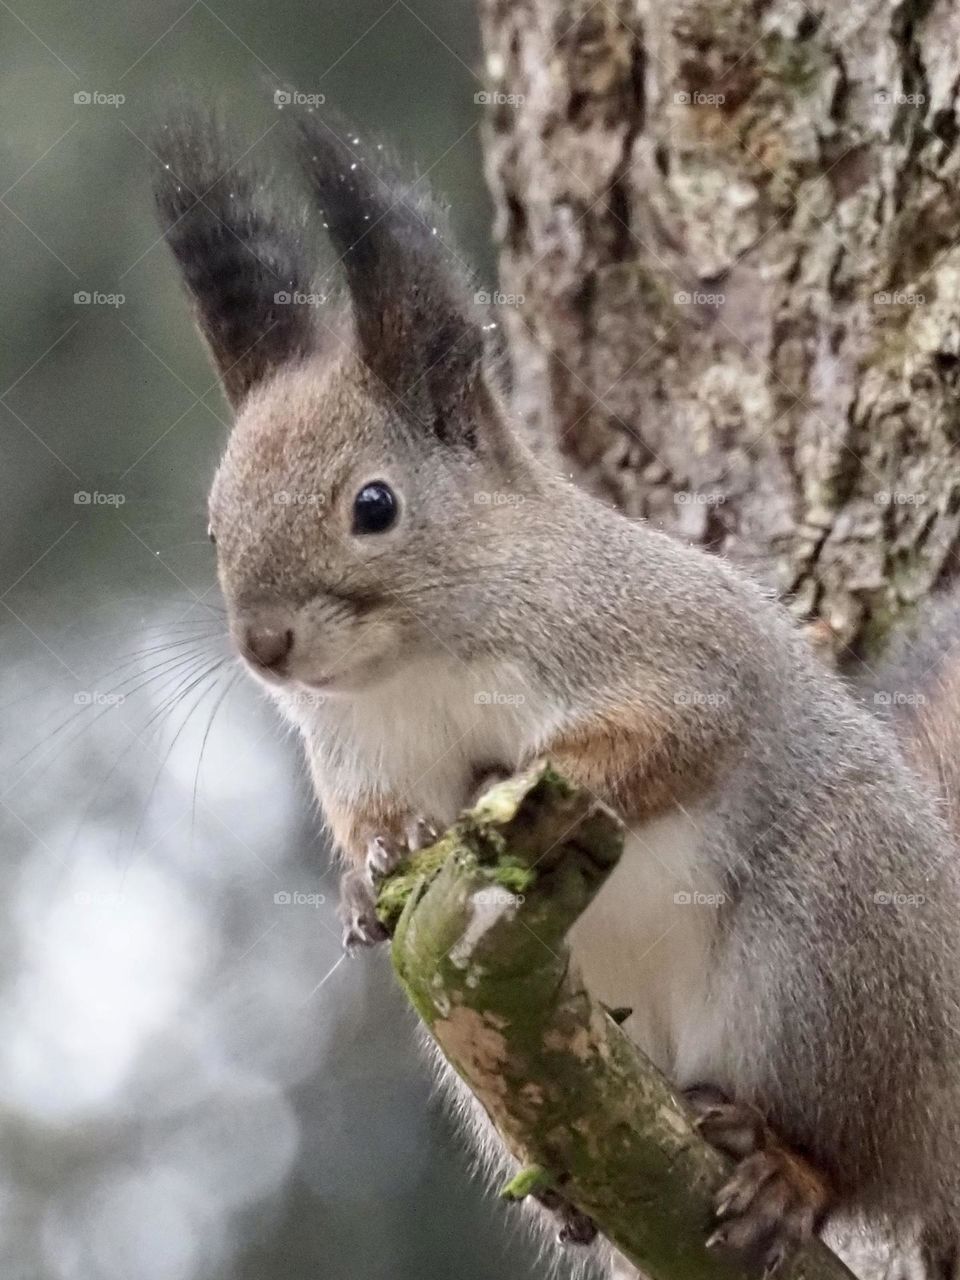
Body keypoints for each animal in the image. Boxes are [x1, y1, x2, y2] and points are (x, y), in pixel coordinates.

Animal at [153, 103, 960, 1279]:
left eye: (374, 505)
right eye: (214, 525)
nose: (265, 646)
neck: (413, 670)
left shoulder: (661, 647)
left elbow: (665, 741)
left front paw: (518, 788)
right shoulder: (353, 749)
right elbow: (368, 818)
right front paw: (372, 872)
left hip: (834, 952)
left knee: (854, 1159)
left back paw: (785, 1170)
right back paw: (579, 1196)